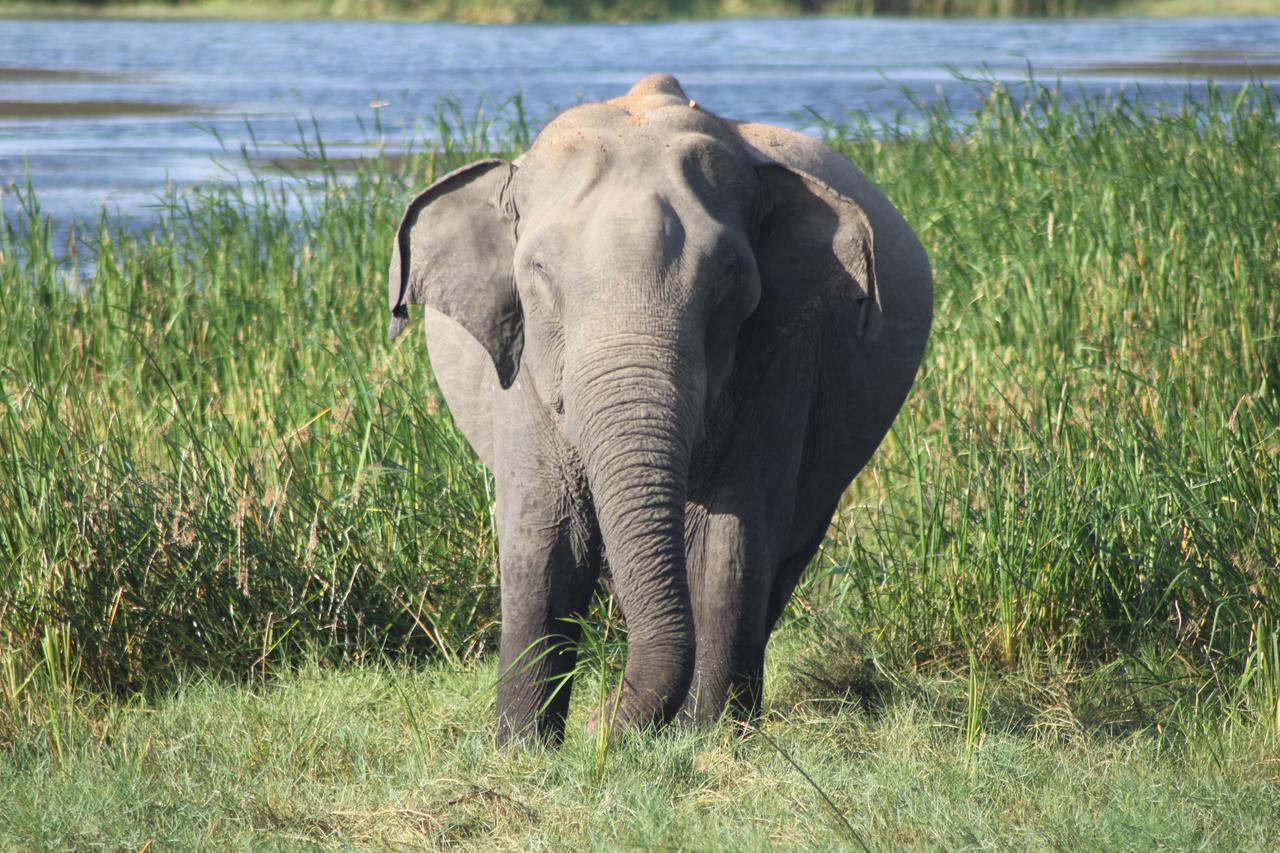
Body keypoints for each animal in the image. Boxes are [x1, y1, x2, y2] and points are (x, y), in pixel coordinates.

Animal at [384, 73, 936, 742]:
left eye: (729, 276)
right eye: (537, 271)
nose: (597, 726)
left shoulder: (781, 359)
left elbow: (730, 543)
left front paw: (709, 740)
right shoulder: (520, 375)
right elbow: (542, 538)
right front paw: (522, 748)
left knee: (785, 552)